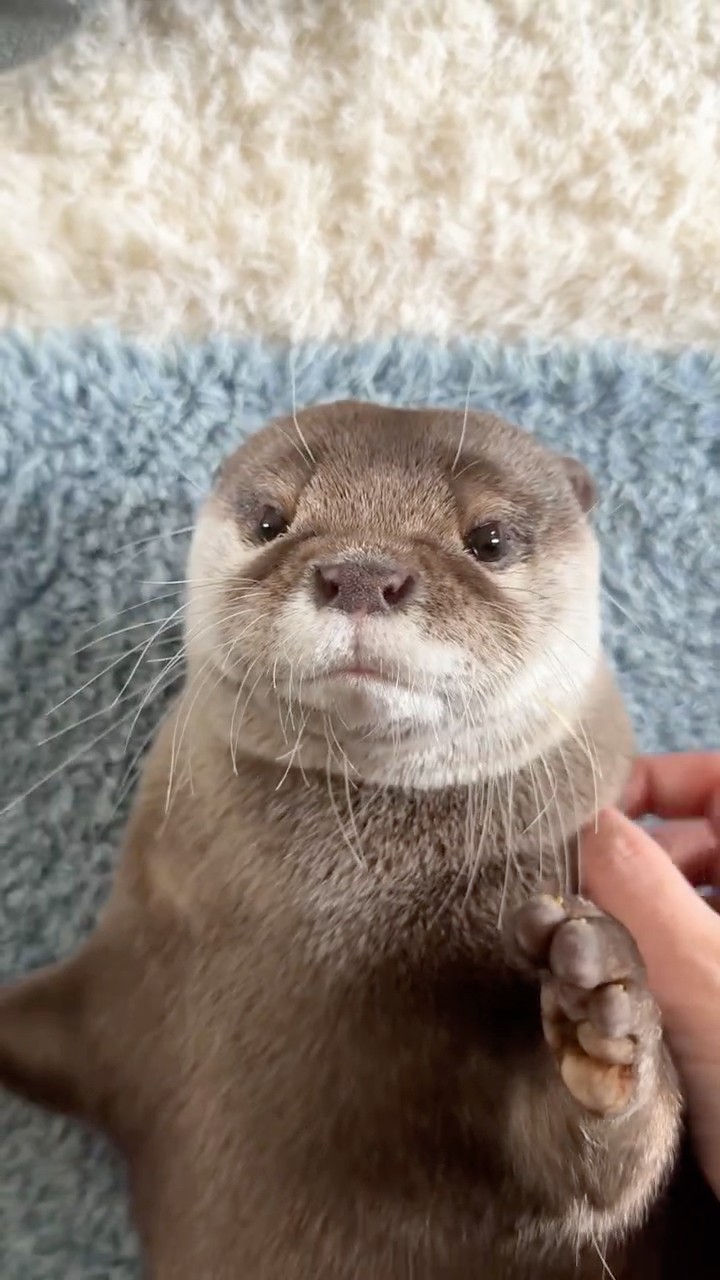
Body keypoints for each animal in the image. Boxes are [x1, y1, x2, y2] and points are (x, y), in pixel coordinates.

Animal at [0, 402, 712, 1278]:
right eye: (270, 521)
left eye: (490, 539)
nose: (363, 574)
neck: (327, 909)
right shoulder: (112, 991)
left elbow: (599, 1169)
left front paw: (602, 1010)